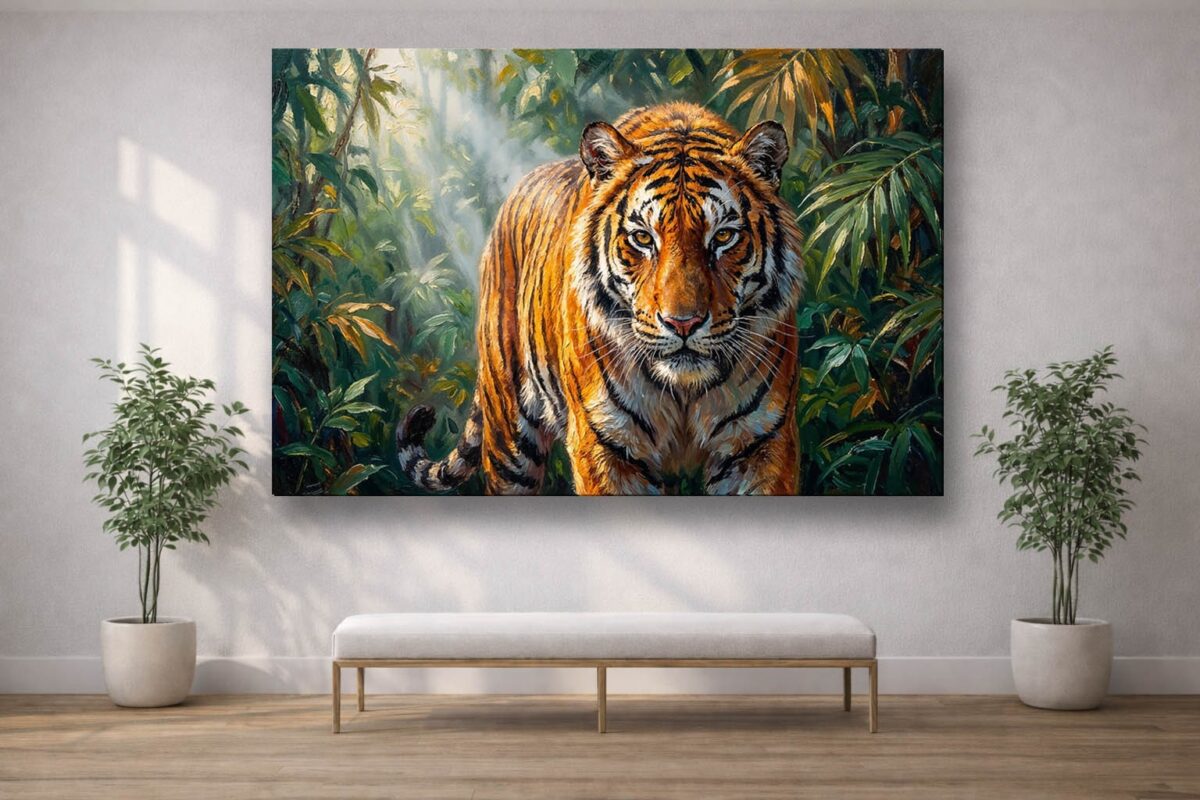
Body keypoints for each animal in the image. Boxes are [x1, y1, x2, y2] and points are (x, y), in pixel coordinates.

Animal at [396, 101, 805, 495]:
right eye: (642, 238)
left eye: (723, 237)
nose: (683, 323)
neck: (683, 390)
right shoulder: (606, 445)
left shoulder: (759, 442)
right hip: (508, 440)